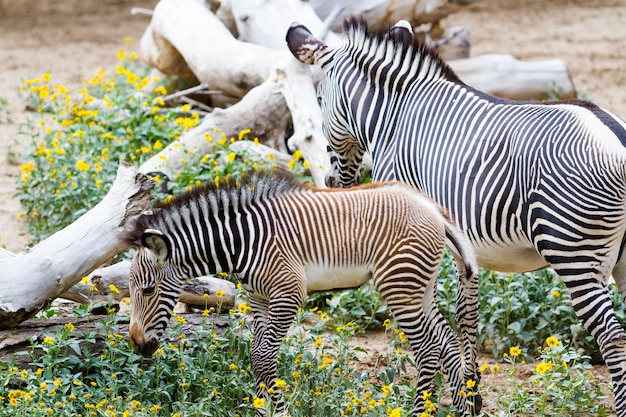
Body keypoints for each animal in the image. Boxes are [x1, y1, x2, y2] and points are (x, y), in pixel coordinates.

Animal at [124, 171, 480, 414]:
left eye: (148, 289)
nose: (138, 346)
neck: (242, 240)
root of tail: (432, 208)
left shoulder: (288, 292)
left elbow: (264, 356)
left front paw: (277, 411)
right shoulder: (259, 298)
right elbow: (256, 354)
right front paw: (262, 409)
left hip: (400, 286)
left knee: (428, 350)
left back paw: (420, 411)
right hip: (421, 286)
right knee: (448, 343)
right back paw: (460, 410)